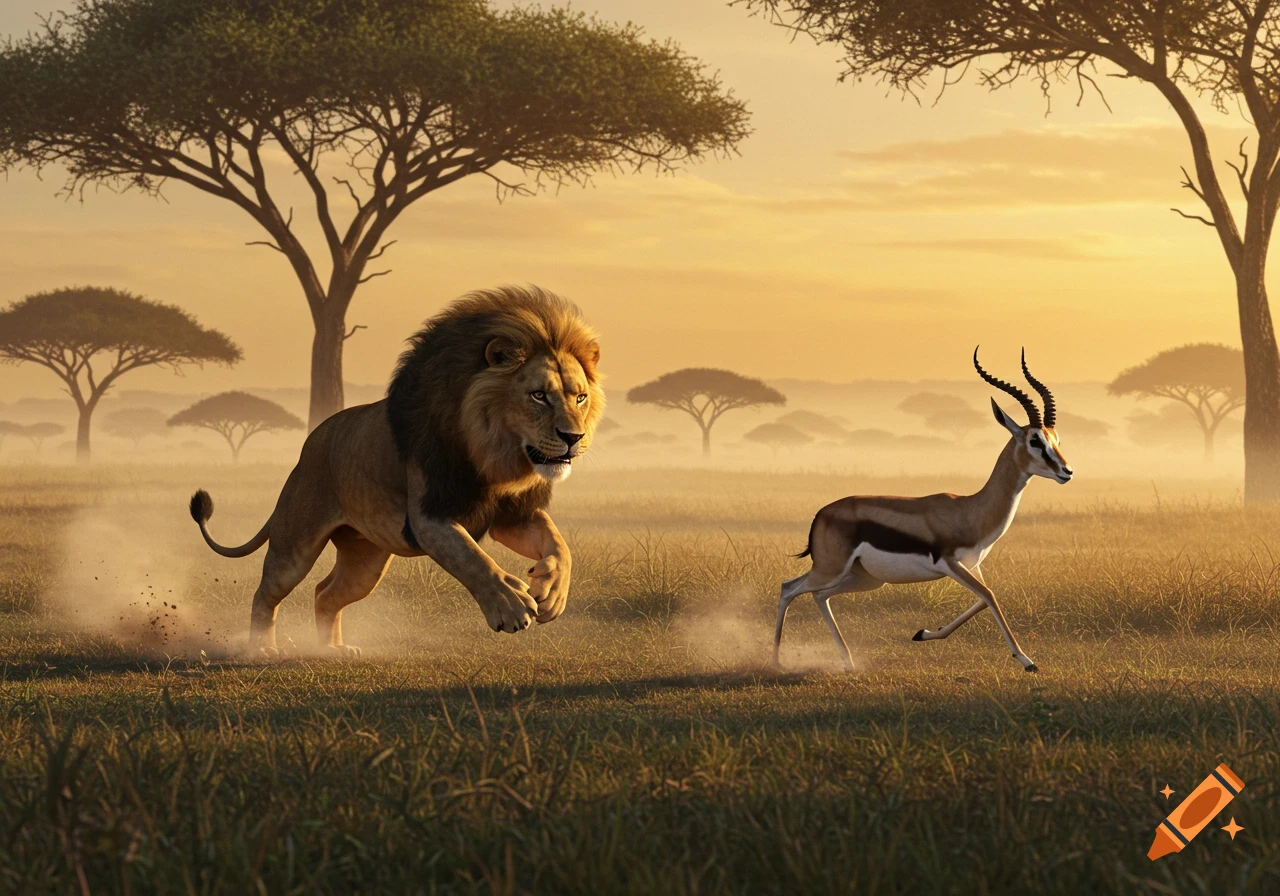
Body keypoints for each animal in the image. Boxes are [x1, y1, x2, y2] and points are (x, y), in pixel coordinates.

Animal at [187, 285, 604, 655]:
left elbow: (559, 545)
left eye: (580, 397)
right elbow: (472, 558)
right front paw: (511, 605)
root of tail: (308, 448)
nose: (573, 438)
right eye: (539, 395)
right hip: (295, 546)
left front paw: (551, 591)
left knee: (326, 593)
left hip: (364, 562)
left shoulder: (512, 514)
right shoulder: (430, 515)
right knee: (266, 592)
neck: (496, 458)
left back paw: (333, 650)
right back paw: (261, 648)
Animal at [773, 349, 1072, 673]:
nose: (1066, 471)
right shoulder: (951, 565)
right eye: (1034, 440)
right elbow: (989, 595)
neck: (970, 511)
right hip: (831, 570)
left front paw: (923, 633)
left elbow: (982, 599)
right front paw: (1028, 661)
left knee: (819, 595)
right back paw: (775, 662)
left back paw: (849, 662)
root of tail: (820, 515)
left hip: (865, 578)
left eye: (1056, 439)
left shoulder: (972, 565)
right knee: (789, 588)